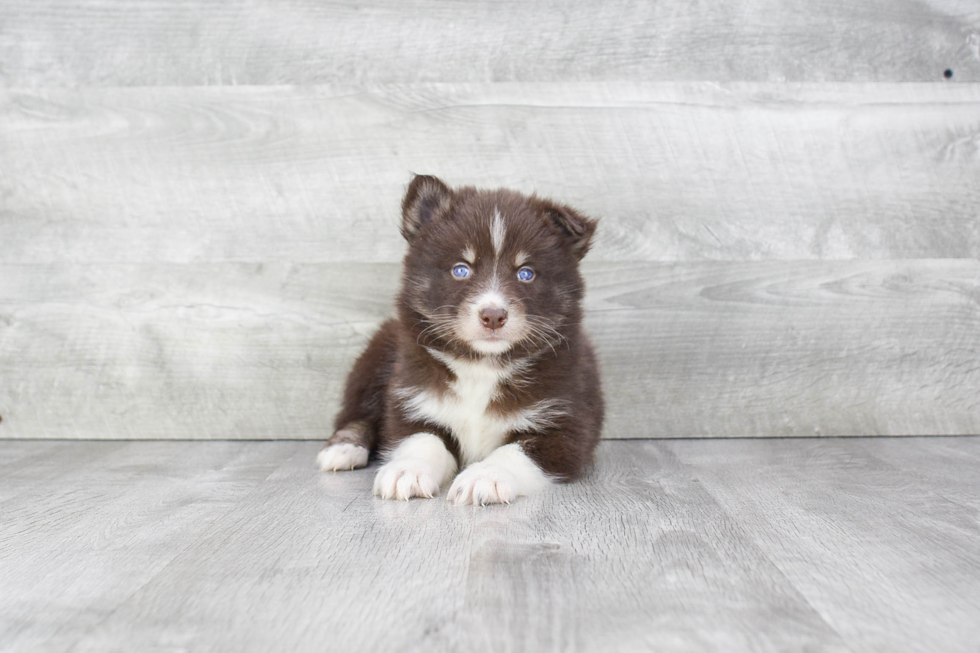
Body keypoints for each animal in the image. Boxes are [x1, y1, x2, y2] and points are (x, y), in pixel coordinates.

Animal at [318, 173, 600, 504]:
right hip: (374, 359)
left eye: (526, 273)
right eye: (461, 270)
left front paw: (485, 476)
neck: (482, 365)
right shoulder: (412, 402)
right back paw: (343, 448)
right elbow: (422, 440)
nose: (493, 315)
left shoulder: (563, 426)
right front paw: (407, 471)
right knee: (357, 414)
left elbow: (514, 452)